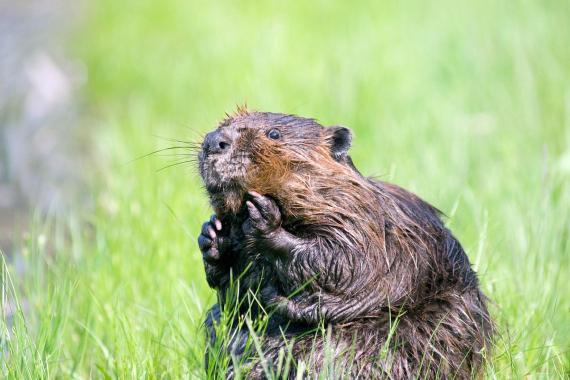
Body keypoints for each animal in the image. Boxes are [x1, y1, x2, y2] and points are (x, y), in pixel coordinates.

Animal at [195, 108, 488, 378]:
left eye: (274, 134)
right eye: (223, 124)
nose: (214, 140)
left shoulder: (364, 223)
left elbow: (345, 262)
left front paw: (264, 218)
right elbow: (239, 298)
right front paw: (213, 235)